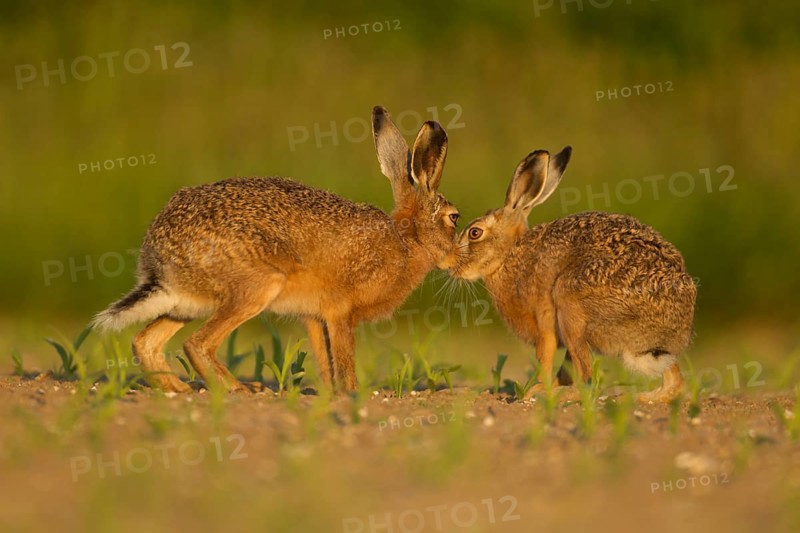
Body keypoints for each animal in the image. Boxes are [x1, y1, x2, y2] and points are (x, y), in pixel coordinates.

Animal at [92, 106, 461, 394]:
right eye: (454, 217)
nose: (458, 257)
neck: (406, 240)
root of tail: (159, 261)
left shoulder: (314, 316)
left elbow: (324, 360)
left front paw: (328, 394)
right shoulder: (339, 312)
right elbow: (343, 359)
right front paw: (353, 394)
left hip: (185, 305)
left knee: (145, 342)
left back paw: (176, 388)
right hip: (258, 286)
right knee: (197, 344)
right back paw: (239, 388)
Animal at [448, 146, 697, 403]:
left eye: (475, 233)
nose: (451, 265)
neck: (509, 253)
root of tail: (672, 328)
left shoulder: (545, 325)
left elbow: (545, 359)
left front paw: (534, 391)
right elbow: (564, 369)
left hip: (570, 303)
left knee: (587, 379)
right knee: (675, 381)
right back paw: (640, 398)